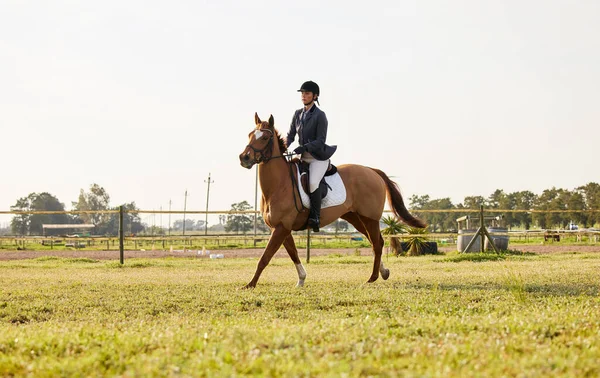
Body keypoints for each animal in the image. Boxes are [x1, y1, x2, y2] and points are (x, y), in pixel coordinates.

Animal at [239, 113, 426, 288]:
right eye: (250, 135)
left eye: (264, 137)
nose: (244, 158)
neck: (279, 184)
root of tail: (372, 171)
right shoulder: (280, 228)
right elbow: (293, 253)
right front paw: (301, 280)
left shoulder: (282, 227)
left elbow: (265, 257)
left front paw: (250, 284)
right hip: (356, 218)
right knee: (374, 242)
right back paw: (384, 272)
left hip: (369, 218)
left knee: (377, 244)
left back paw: (372, 278)